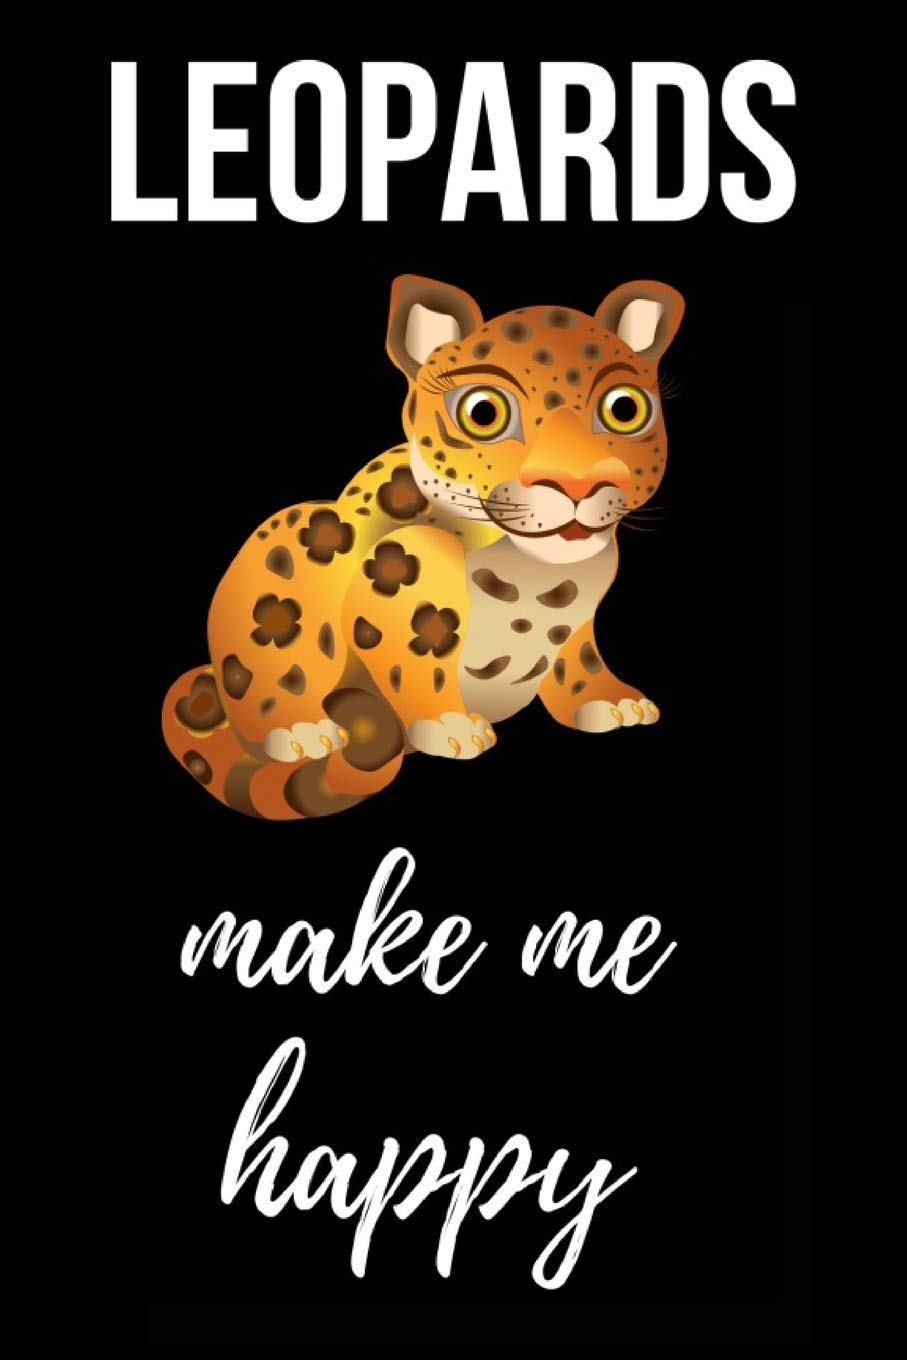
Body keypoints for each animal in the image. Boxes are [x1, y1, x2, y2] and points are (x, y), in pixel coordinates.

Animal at [162, 274, 684, 819]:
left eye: (625, 408)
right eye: (483, 412)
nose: (579, 483)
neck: (544, 576)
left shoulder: (582, 616)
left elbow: (579, 656)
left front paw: (609, 700)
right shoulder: (398, 576)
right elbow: (419, 653)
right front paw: (448, 724)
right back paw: (297, 730)